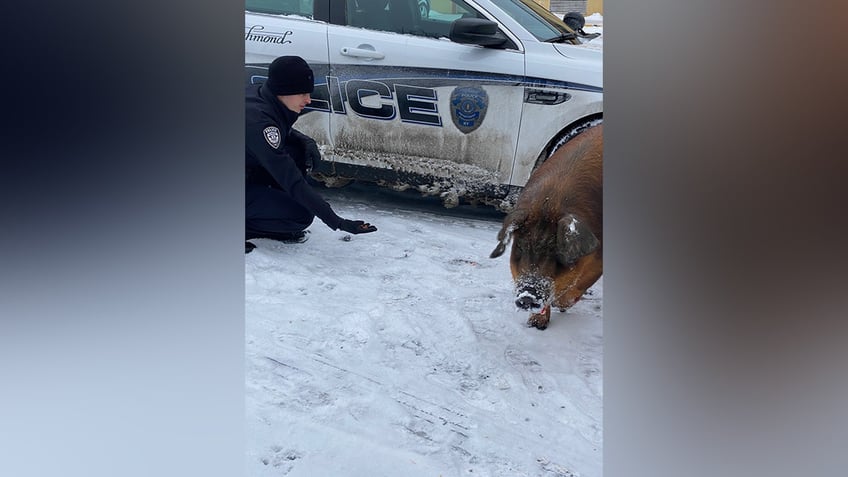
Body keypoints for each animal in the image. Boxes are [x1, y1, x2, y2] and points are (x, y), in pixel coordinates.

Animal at [490, 124, 604, 330]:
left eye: (556, 252)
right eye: (521, 246)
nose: (527, 295)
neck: (550, 202)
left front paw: (562, 306)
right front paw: (536, 324)